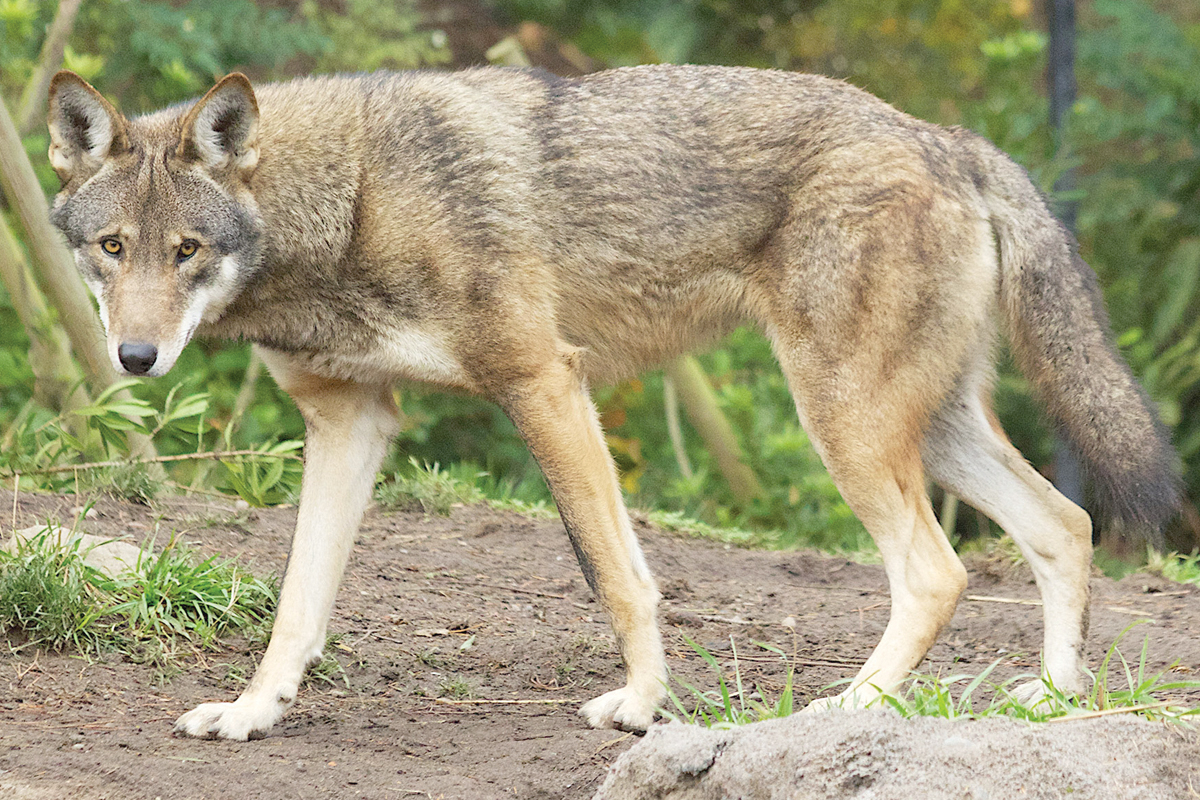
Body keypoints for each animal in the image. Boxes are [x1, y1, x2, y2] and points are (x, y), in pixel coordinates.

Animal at [46, 64, 1178, 740]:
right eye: (113, 248)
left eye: (186, 251)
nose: (135, 357)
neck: (352, 200)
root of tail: (950, 137)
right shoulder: (349, 421)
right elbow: (297, 602)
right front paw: (250, 714)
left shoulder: (546, 382)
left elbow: (617, 575)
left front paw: (641, 704)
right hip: (925, 429)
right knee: (1066, 523)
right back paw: (1054, 697)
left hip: (846, 425)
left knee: (939, 571)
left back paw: (848, 707)